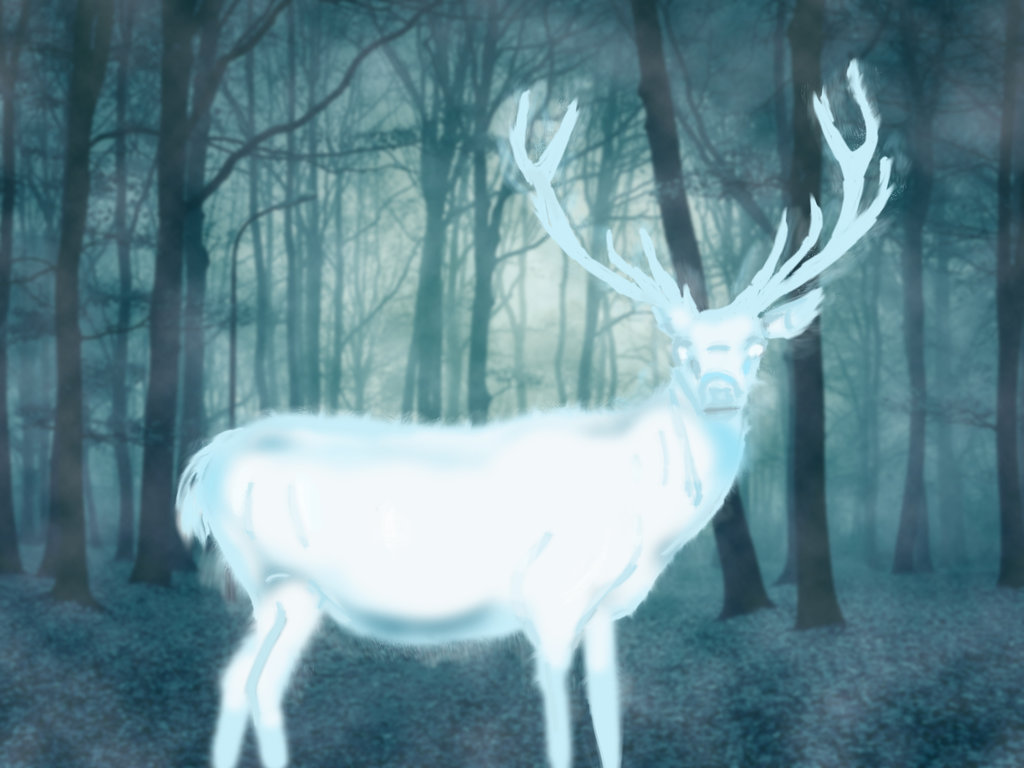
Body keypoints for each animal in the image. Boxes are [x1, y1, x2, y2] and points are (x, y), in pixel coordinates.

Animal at [177, 60, 892, 768]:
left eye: (756, 345)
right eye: (679, 348)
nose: (719, 387)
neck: (647, 524)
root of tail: (205, 462)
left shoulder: (605, 612)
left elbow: (608, 717)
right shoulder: (552, 596)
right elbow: (558, 727)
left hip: (282, 593)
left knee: (242, 683)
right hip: (276, 580)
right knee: (250, 684)